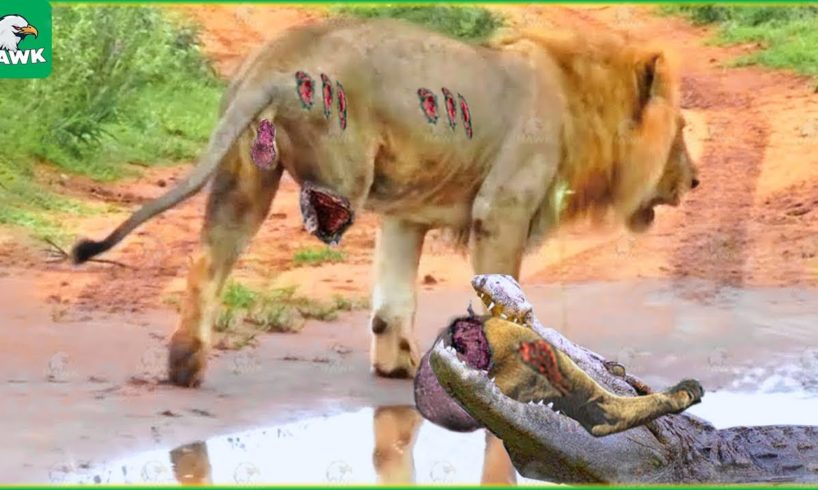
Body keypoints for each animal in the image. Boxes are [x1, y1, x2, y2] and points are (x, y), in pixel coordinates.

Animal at [69, 17, 699, 387]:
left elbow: (392, 299)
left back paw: (184, 366)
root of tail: (277, 57)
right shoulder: (502, 208)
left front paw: (397, 364)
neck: (577, 101)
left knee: (206, 261)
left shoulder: (405, 214)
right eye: (681, 131)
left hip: (243, 177)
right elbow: (502, 297)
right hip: (340, 177)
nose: (694, 181)